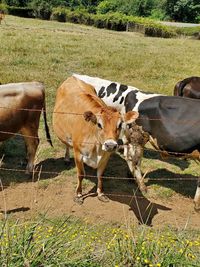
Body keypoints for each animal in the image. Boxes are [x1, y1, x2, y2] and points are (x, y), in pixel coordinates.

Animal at [52, 77, 138, 205]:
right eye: (99, 124)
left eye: (120, 125)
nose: (110, 145)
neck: (96, 148)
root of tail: (73, 77)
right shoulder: (78, 153)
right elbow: (81, 174)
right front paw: (78, 194)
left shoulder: (105, 156)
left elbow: (100, 175)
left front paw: (100, 193)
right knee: (67, 144)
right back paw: (66, 158)